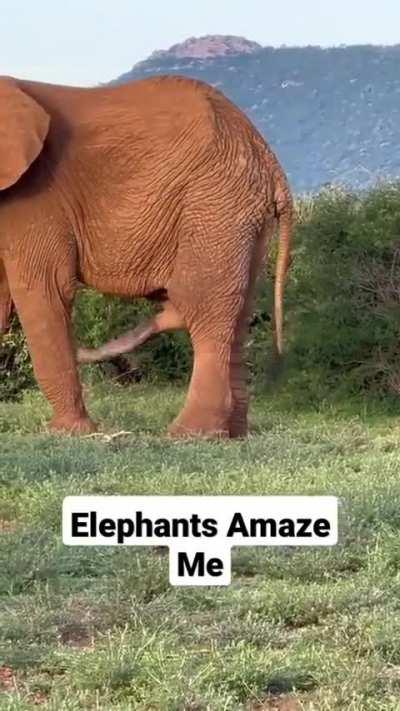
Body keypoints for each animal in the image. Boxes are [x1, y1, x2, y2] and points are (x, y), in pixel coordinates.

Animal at [0, 74, 293, 438]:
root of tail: (267, 155)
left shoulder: (36, 198)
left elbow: (46, 288)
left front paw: (68, 433)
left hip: (215, 202)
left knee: (203, 305)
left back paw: (189, 434)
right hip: (244, 215)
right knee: (239, 312)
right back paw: (233, 434)